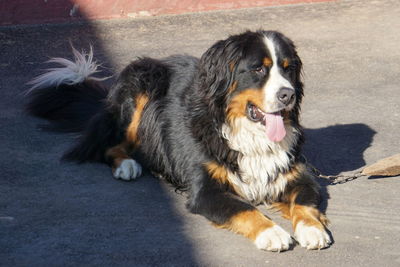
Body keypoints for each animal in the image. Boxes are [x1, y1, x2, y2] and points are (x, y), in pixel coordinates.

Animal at [25, 30, 332, 252]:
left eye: (288, 69)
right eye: (258, 69)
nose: (288, 94)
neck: (244, 133)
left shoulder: (297, 173)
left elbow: (305, 202)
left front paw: (313, 229)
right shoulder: (206, 190)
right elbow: (245, 209)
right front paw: (272, 233)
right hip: (143, 82)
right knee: (107, 145)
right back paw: (128, 165)